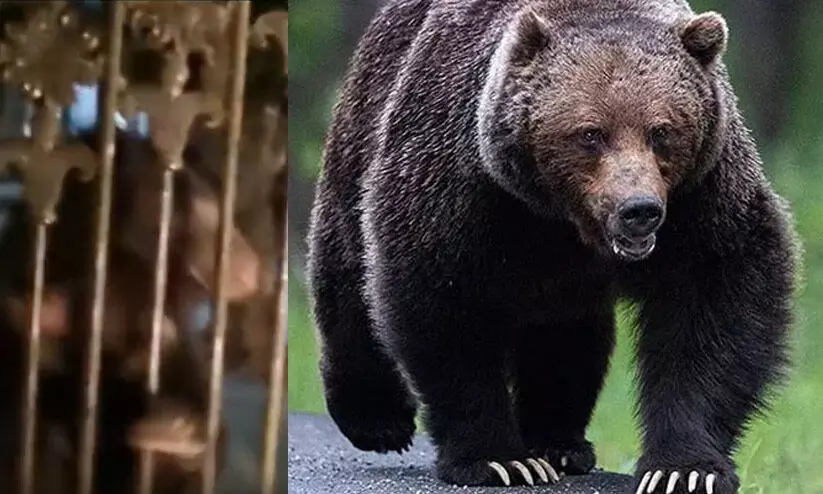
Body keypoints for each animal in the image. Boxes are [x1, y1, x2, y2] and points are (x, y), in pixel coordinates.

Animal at [307, 1, 798, 493]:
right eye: (591, 133)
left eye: (661, 131)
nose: (639, 209)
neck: (562, 219)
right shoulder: (462, 183)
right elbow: (443, 303)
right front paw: (499, 459)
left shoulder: (702, 198)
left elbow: (716, 302)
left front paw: (685, 468)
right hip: (364, 134)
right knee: (348, 279)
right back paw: (376, 419)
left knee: (565, 337)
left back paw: (558, 442)